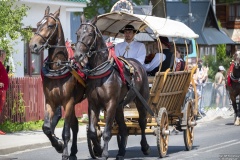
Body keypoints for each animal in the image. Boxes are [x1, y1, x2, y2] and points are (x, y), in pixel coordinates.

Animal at [28, 6, 85, 160]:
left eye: (50, 25)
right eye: (37, 24)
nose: (33, 45)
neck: (57, 68)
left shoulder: (68, 102)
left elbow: (65, 131)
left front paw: (63, 152)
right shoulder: (51, 101)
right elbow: (46, 128)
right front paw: (58, 145)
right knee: (75, 125)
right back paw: (73, 152)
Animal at [74, 14, 151, 159]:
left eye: (90, 33)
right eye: (77, 33)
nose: (77, 55)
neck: (100, 73)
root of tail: (138, 65)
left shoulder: (110, 104)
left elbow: (106, 132)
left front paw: (104, 153)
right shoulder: (93, 104)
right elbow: (92, 131)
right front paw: (97, 149)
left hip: (141, 101)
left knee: (142, 122)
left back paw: (145, 147)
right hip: (119, 107)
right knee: (124, 128)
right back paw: (121, 152)